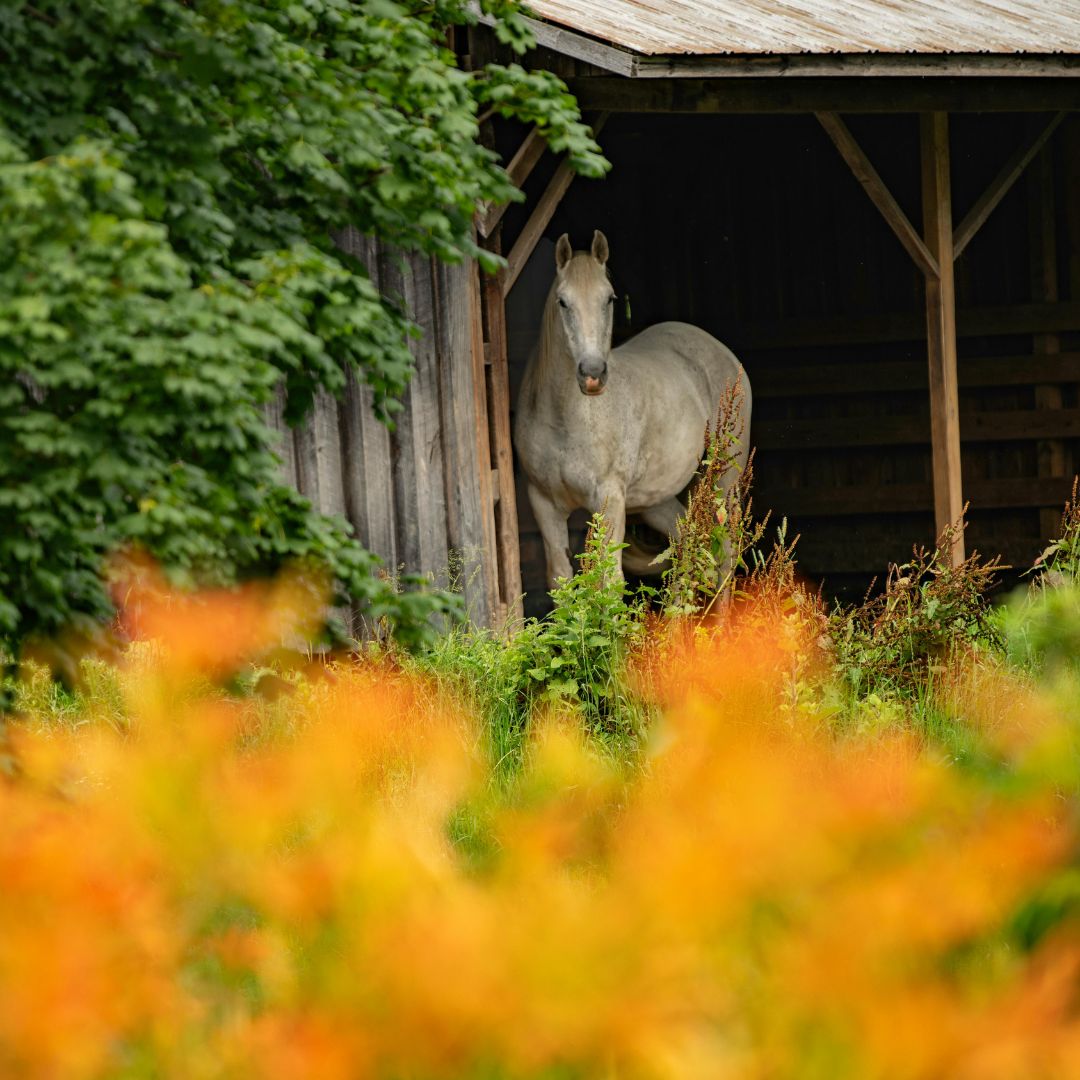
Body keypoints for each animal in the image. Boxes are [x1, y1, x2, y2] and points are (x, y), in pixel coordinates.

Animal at [514, 229, 752, 588]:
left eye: (609, 299)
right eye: (563, 301)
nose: (593, 373)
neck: (565, 419)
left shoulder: (609, 499)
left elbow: (610, 582)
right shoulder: (544, 503)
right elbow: (561, 581)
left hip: (726, 478)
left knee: (725, 551)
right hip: (658, 498)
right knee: (685, 542)